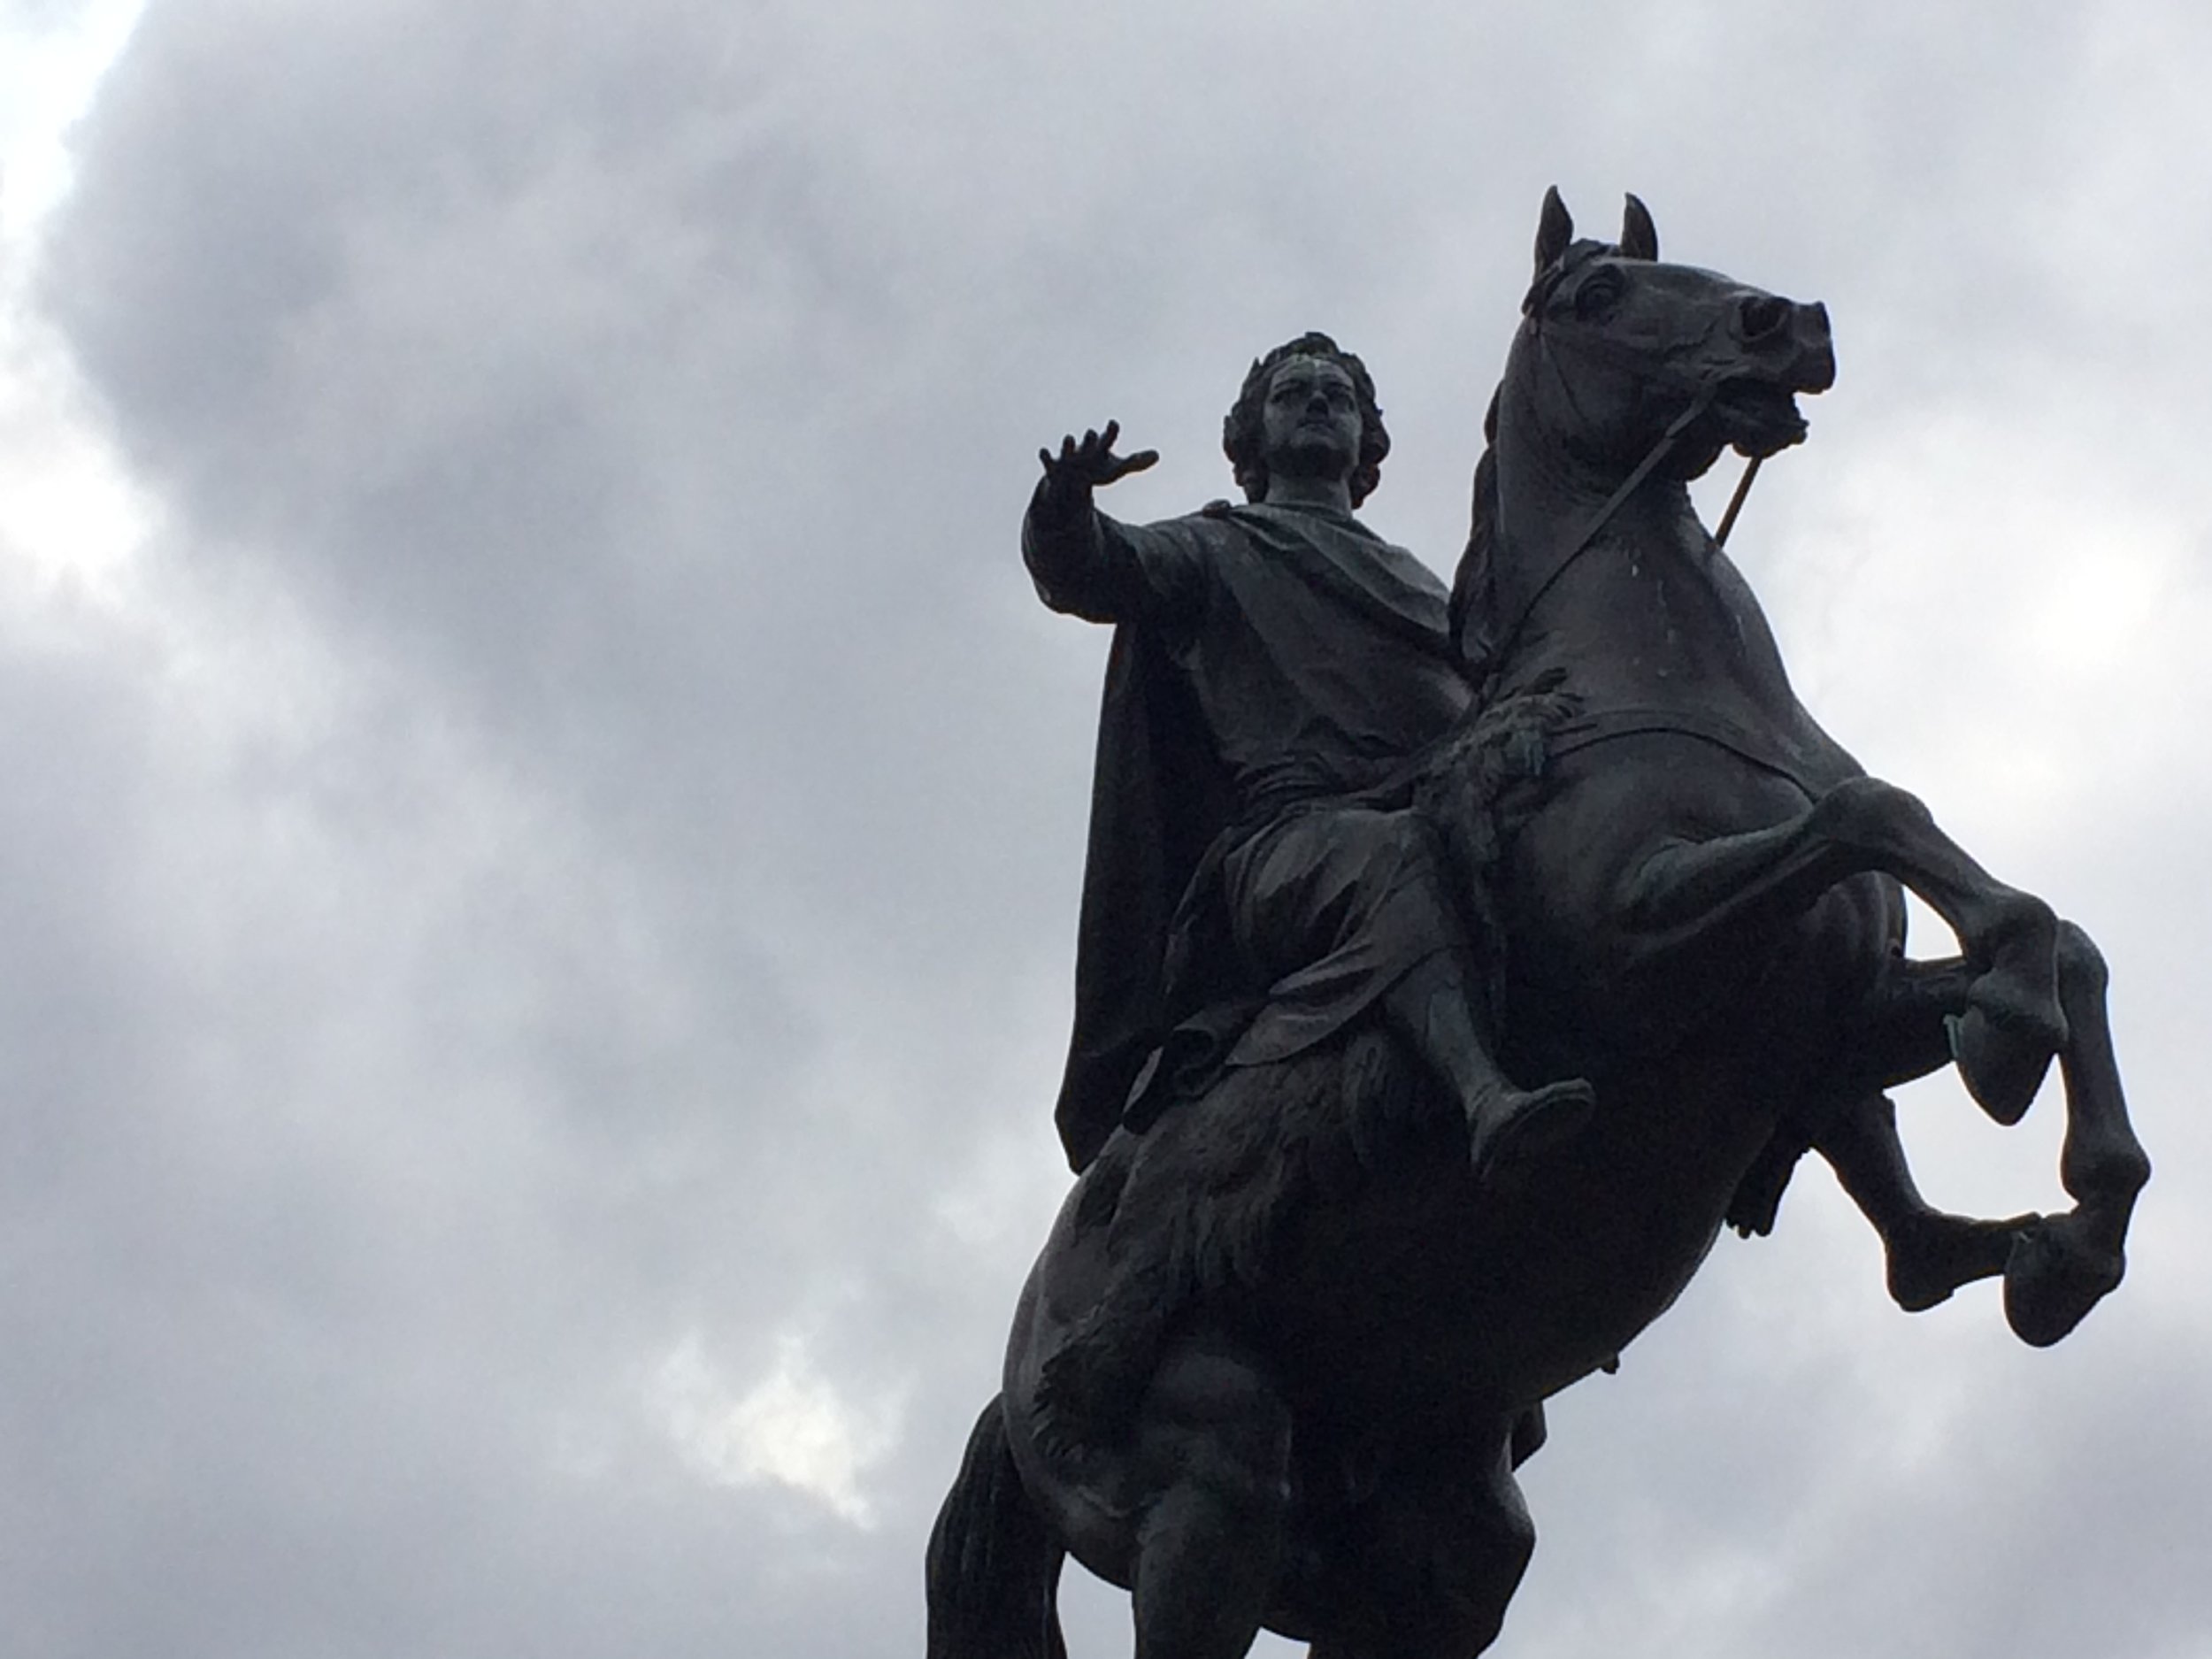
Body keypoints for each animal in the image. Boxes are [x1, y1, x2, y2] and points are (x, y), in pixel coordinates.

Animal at [925, 195, 2150, 1659]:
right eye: (1598, 294)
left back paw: (1948, 1248)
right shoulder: (1641, 950)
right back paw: (1519, 1119)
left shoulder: (1830, 1017)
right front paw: (2011, 1041)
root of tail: (1015, 1370)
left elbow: (2051, 939)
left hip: (1432, 1547)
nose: (1788, 324)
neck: (1647, 683)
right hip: (1205, 1475)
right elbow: (1873, 808)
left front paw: (2075, 1215)